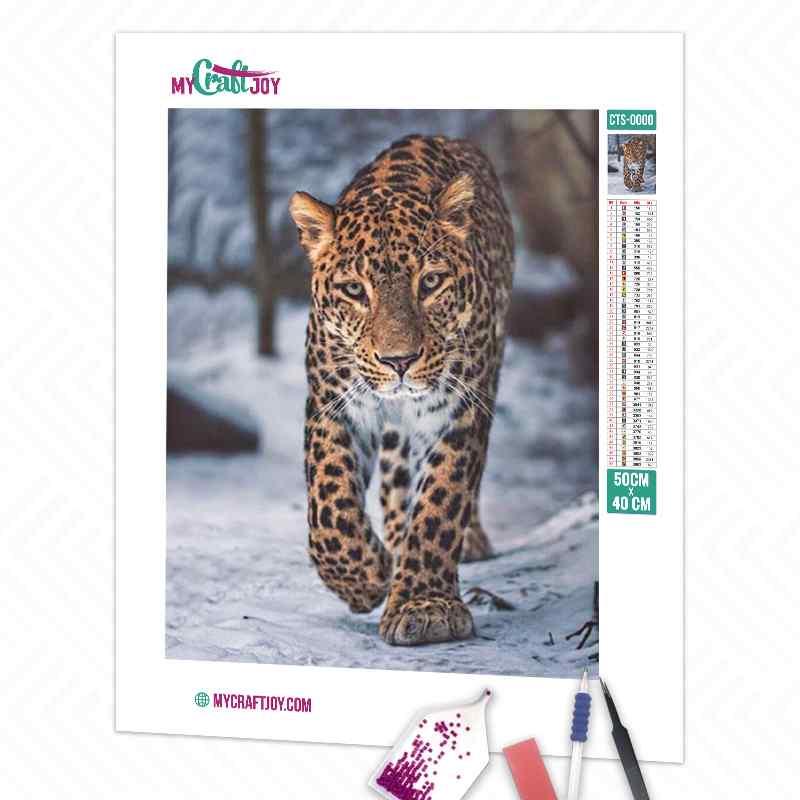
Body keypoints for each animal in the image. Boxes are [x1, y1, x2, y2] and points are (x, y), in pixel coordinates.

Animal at [289, 134, 514, 646]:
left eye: (430, 282)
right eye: (355, 291)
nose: (399, 362)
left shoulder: (459, 408)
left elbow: (441, 501)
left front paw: (425, 606)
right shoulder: (334, 402)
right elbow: (328, 505)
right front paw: (366, 577)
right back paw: (391, 541)